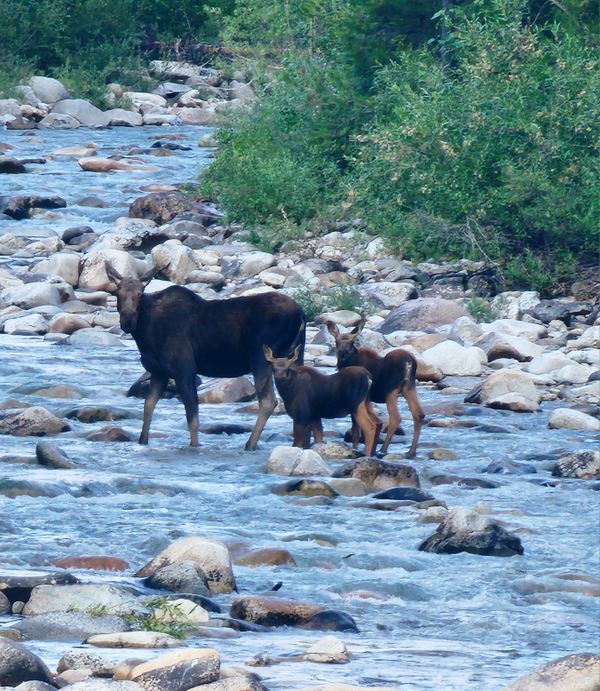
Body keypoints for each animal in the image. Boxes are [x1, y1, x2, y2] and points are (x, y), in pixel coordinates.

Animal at [103, 262, 308, 452]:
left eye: (140, 294)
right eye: (117, 293)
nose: (128, 321)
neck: (145, 334)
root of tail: (301, 314)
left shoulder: (185, 369)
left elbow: (192, 416)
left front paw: (195, 447)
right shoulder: (159, 371)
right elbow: (148, 406)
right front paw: (142, 441)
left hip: (261, 357)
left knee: (268, 401)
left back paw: (250, 444)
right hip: (292, 357)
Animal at [328, 318, 422, 460]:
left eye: (352, 342)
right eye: (336, 341)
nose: (343, 354)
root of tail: (410, 362)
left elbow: (356, 429)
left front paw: (357, 450)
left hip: (391, 391)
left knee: (395, 417)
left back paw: (383, 450)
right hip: (409, 388)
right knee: (418, 414)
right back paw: (411, 451)